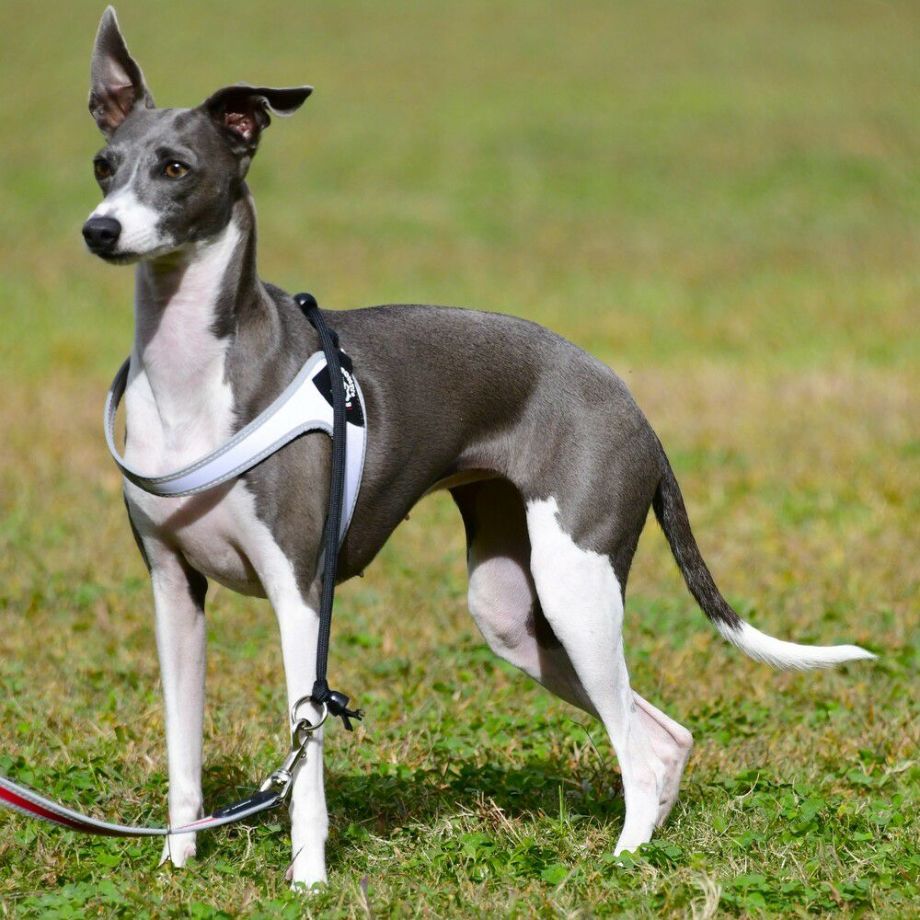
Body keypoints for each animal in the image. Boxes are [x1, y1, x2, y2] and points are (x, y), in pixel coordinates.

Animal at [82, 7, 874, 887]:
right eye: (104, 165)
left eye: (176, 167)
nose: (100, 230)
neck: (193, 377)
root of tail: (631, 405)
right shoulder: (173, 590)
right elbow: (182, 754)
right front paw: (176, 865)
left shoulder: (300, 596)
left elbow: (306, 757)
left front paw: (309, 879)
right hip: (512, 612)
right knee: (662, 735)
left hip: (575, 588)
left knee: (635, 745)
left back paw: (622, 859)